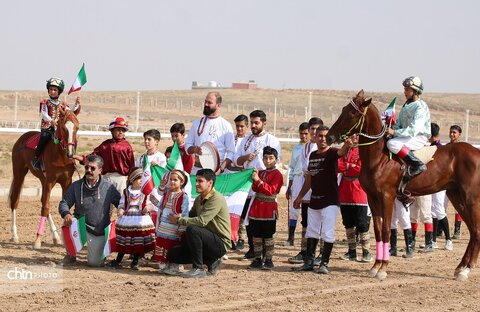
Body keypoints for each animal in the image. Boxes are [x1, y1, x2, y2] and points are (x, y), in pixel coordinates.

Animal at [8, 106, 80, 249]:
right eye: (64, 127)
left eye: (77, 127)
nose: (70, 153)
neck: (61, 156)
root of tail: (22, 138)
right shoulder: (50, 181)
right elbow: (46, 207)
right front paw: (37, 240)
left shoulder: (66, 182)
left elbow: (63, 206)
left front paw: (64, 238)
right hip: (19, 174)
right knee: (15, 200)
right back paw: (15, 235)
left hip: (42, 179)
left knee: (43, 201)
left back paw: (56, 237)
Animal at [328, 89, 480, 280]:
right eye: (343, 109)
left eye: (352, 113)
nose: (329, 136)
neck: (379, 158)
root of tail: (476, 151)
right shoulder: (372, 198)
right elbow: (378, 231)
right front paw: (375, 266)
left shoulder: (387, 197)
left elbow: (386, 230)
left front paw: (383, 269)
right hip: (457, 197)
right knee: (473, 230)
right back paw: (461, 268)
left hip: (471, 199)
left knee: (476, 230)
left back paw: (467, 269)